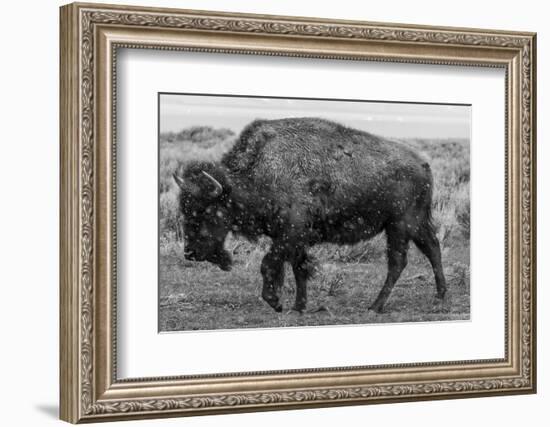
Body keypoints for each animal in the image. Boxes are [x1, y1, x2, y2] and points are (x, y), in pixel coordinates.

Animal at [175, 117, 446, 314]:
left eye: (207, 210)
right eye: (184, 209)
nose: (190, 252)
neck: (258, 172)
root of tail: (424, 164)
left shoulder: (290, 234)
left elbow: (269, 263)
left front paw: (276, 302)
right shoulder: (296, 239)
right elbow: (299, 268)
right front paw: (298, 306)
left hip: (400, 225)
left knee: (398, 262)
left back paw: (375, 306)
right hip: (414, 224)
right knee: (432, 248)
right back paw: (440, 296)